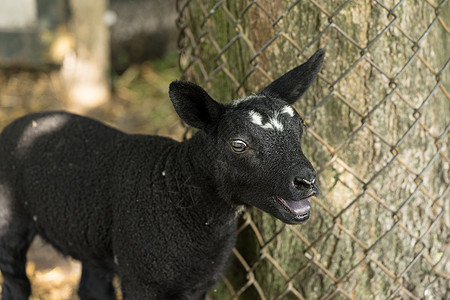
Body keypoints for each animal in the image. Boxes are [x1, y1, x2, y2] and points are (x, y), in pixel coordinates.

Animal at [0, 48, 324, 298]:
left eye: (301, 127)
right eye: (239, 144)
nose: (306, 181)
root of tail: (21, 121)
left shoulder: (198, 284)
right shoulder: (142, 280)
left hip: (92, 239)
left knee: (92, 287)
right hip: (9, 222)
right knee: (16, 283)